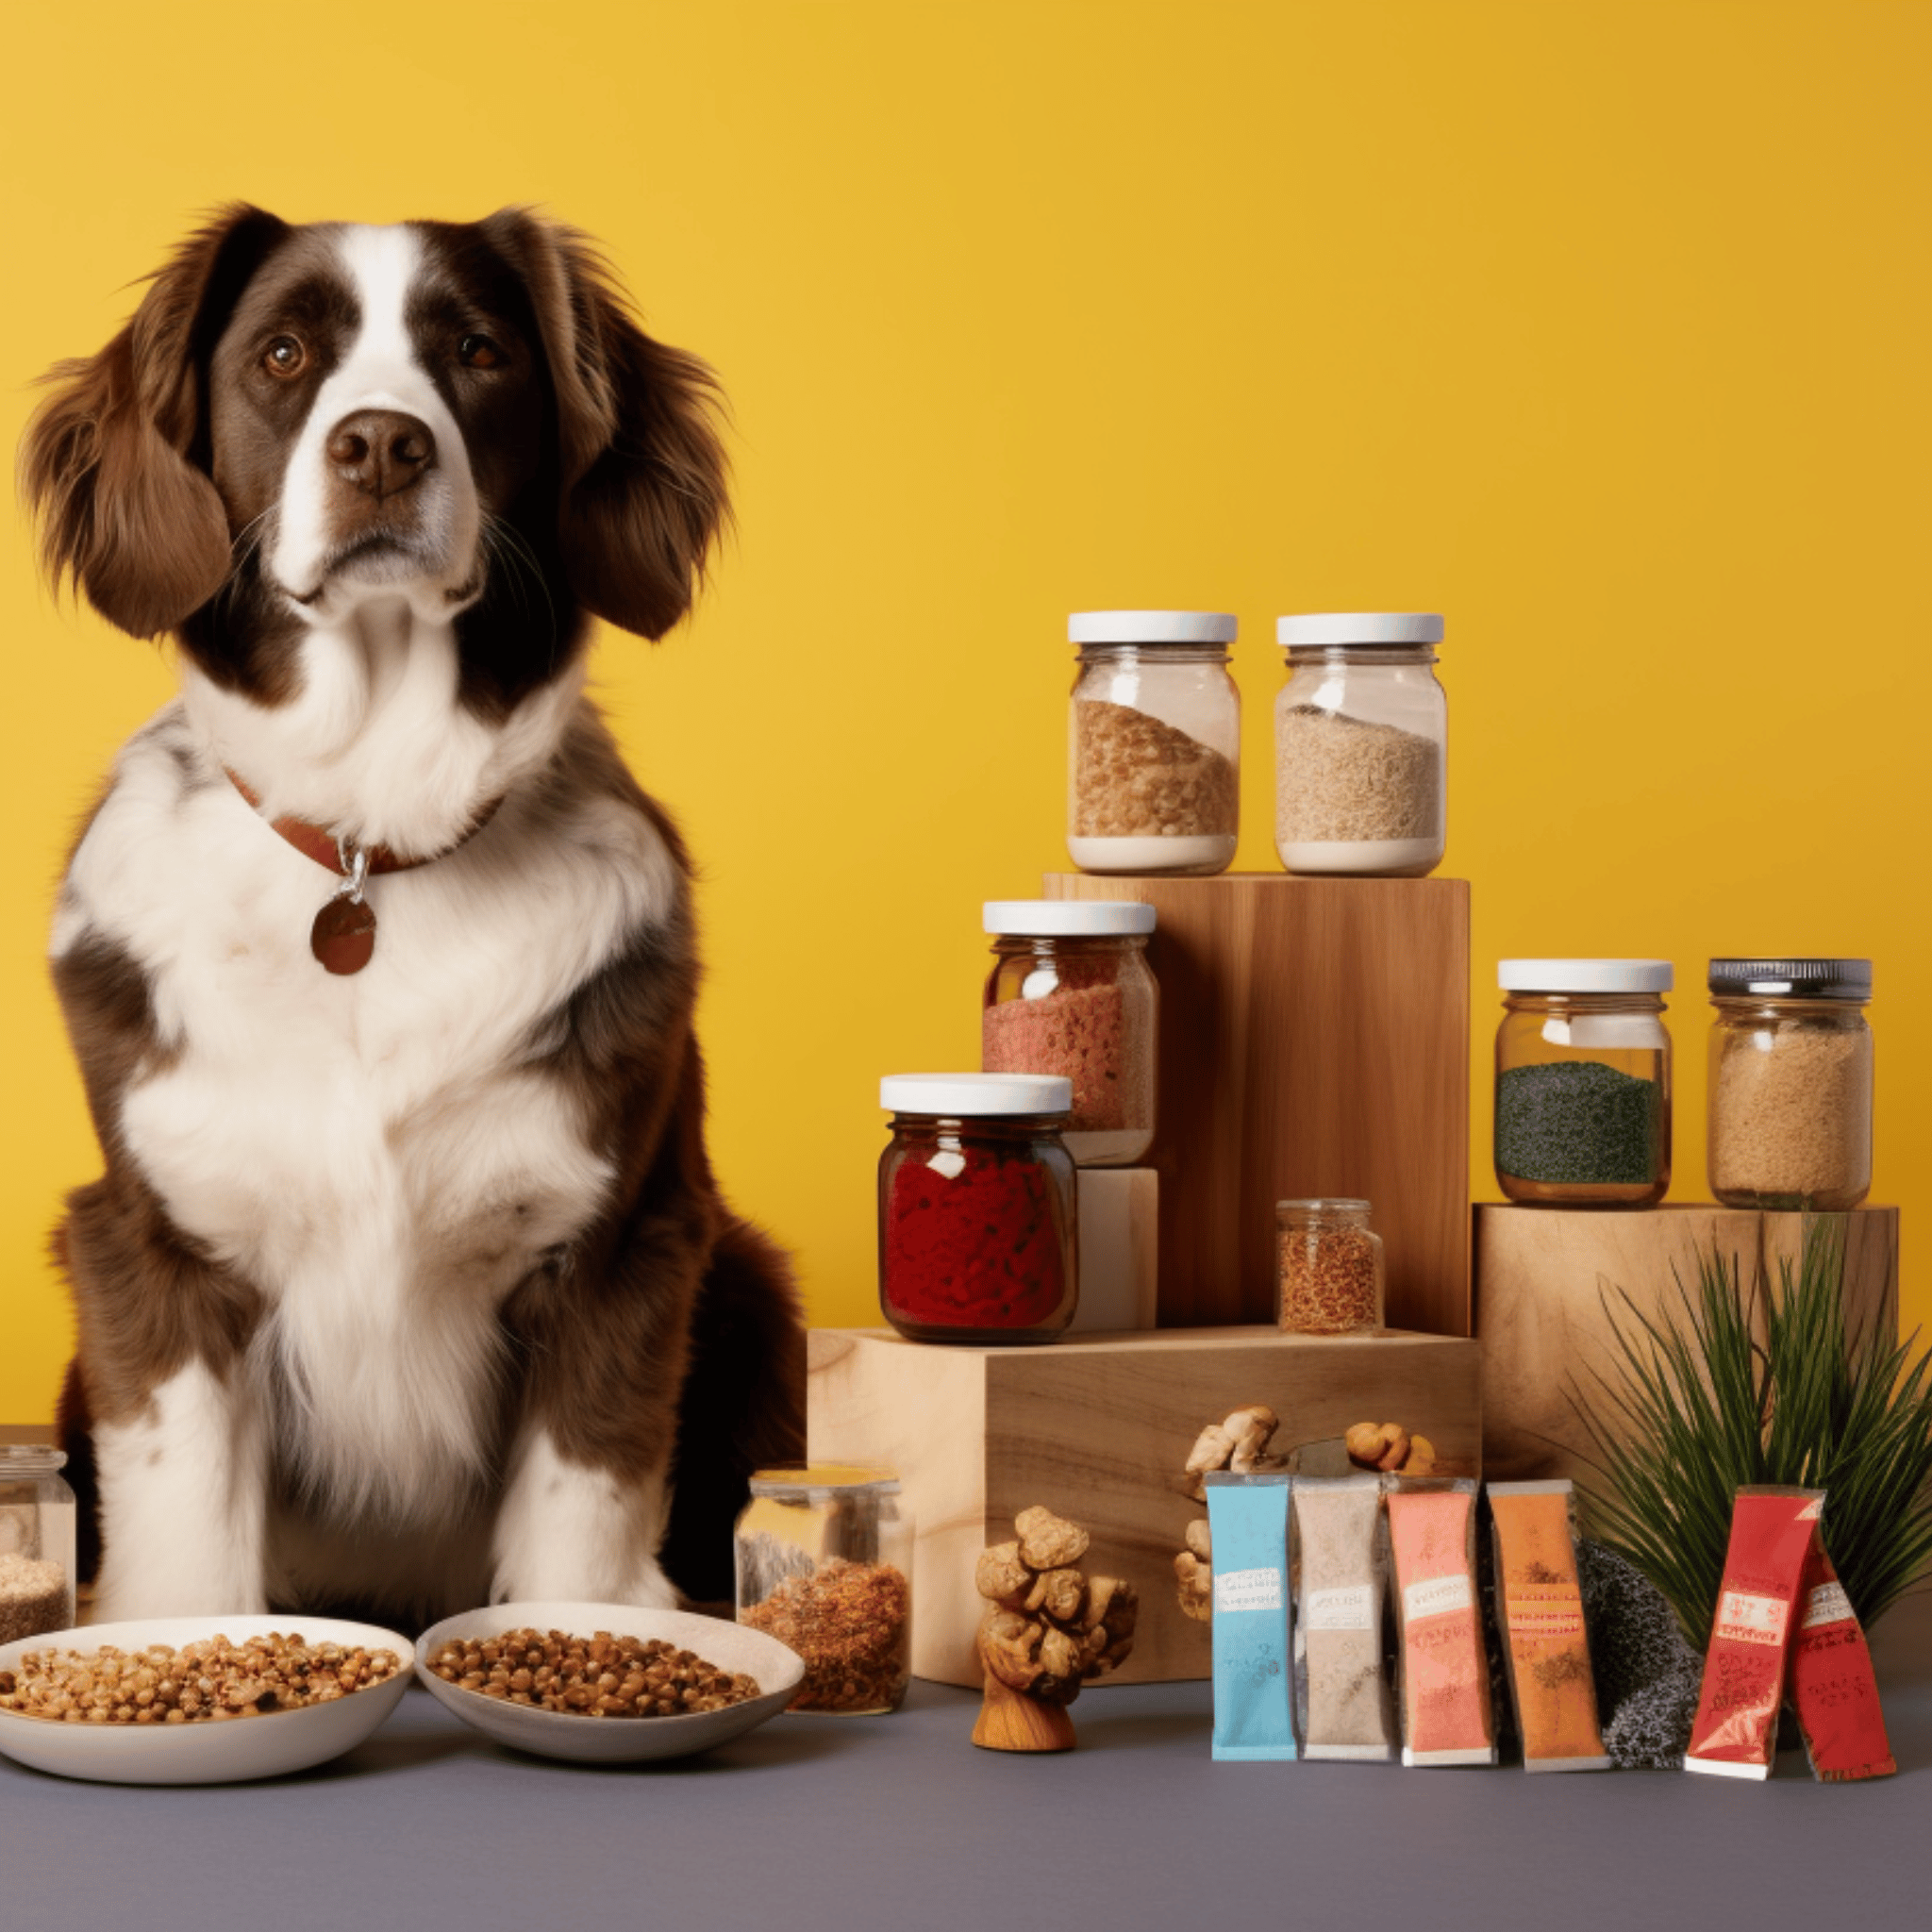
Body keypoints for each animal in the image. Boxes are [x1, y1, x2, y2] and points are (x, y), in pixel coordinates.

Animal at [24, 208, 808, 1630]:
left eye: (480, 352)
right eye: (282, 354)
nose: (383, 443)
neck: (368, 851)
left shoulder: (625, 1250)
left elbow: (579, 1537)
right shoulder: (151, 1248)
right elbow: (187, 1548)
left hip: (755, 1285)